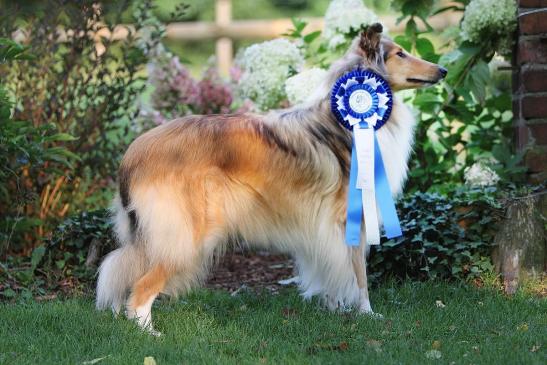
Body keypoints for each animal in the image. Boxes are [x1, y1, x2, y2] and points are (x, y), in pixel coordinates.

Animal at [95, 23, 446, 336]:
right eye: (400, 53)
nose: (442, 70)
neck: (344, 123)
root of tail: (133, 153)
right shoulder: (348, 218)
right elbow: (359, 275)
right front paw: (367, 315)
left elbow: (333, 269)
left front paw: (334, 308)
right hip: (183, 237)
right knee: (142, 288)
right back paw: (149, 333)